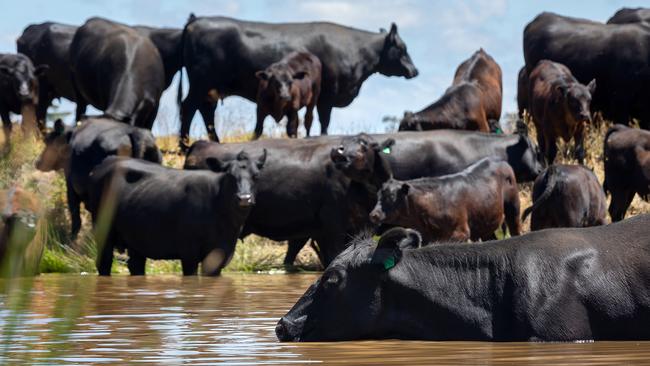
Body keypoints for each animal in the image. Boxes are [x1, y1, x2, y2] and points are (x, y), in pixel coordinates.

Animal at [88, 150, 266, 276]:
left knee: (136, 265)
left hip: (135, 238)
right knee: (104, 263)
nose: (244, 198)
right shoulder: (189, 253)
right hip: (103, 231)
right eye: (230, 175)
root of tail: (108, 160)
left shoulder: (220, 254)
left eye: (256, 175)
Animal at [177, 14, 418, 149]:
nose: (414, 71)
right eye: (402, 48)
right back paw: (183, 145)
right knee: (188, 108)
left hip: (209, 88)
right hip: (200, 83)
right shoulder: (326, 97)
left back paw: (213, 142)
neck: (356, 50)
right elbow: (324, 121)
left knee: (205, 111)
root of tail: (195, 22)